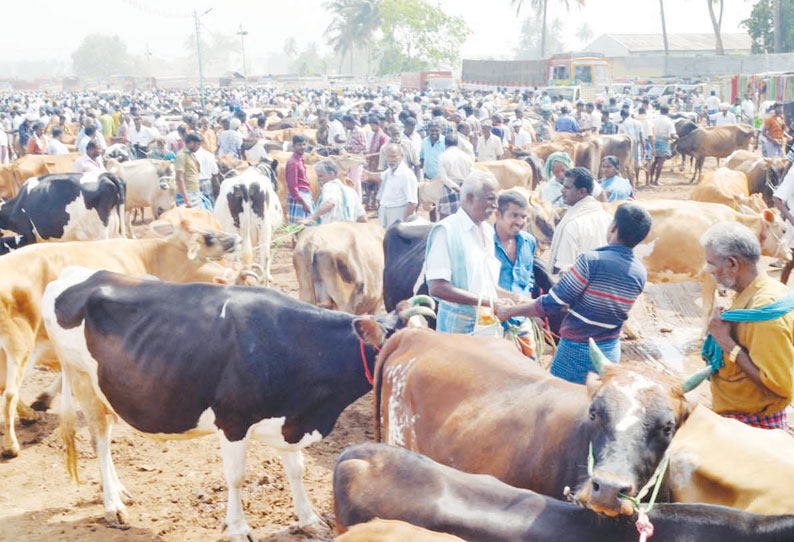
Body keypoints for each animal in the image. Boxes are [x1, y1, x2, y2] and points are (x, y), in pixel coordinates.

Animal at [0, 221, 241, 460]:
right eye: (209, 237)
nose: (236, 239)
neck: (153, 256)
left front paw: (42, 400)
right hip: (20, 346)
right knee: (9, 393)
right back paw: (11, 445)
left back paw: (28, 415)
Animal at [43, 270, 434, 540]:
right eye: (395, 342)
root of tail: (75, 274)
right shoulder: (233, 421)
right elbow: (236, 477)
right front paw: (238, 528)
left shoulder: (289, 420)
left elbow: (296, 470)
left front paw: (308, 520)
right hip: (80, 378)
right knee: (99, 438)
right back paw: (113, 506)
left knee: (106, 436)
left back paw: (120, 491)